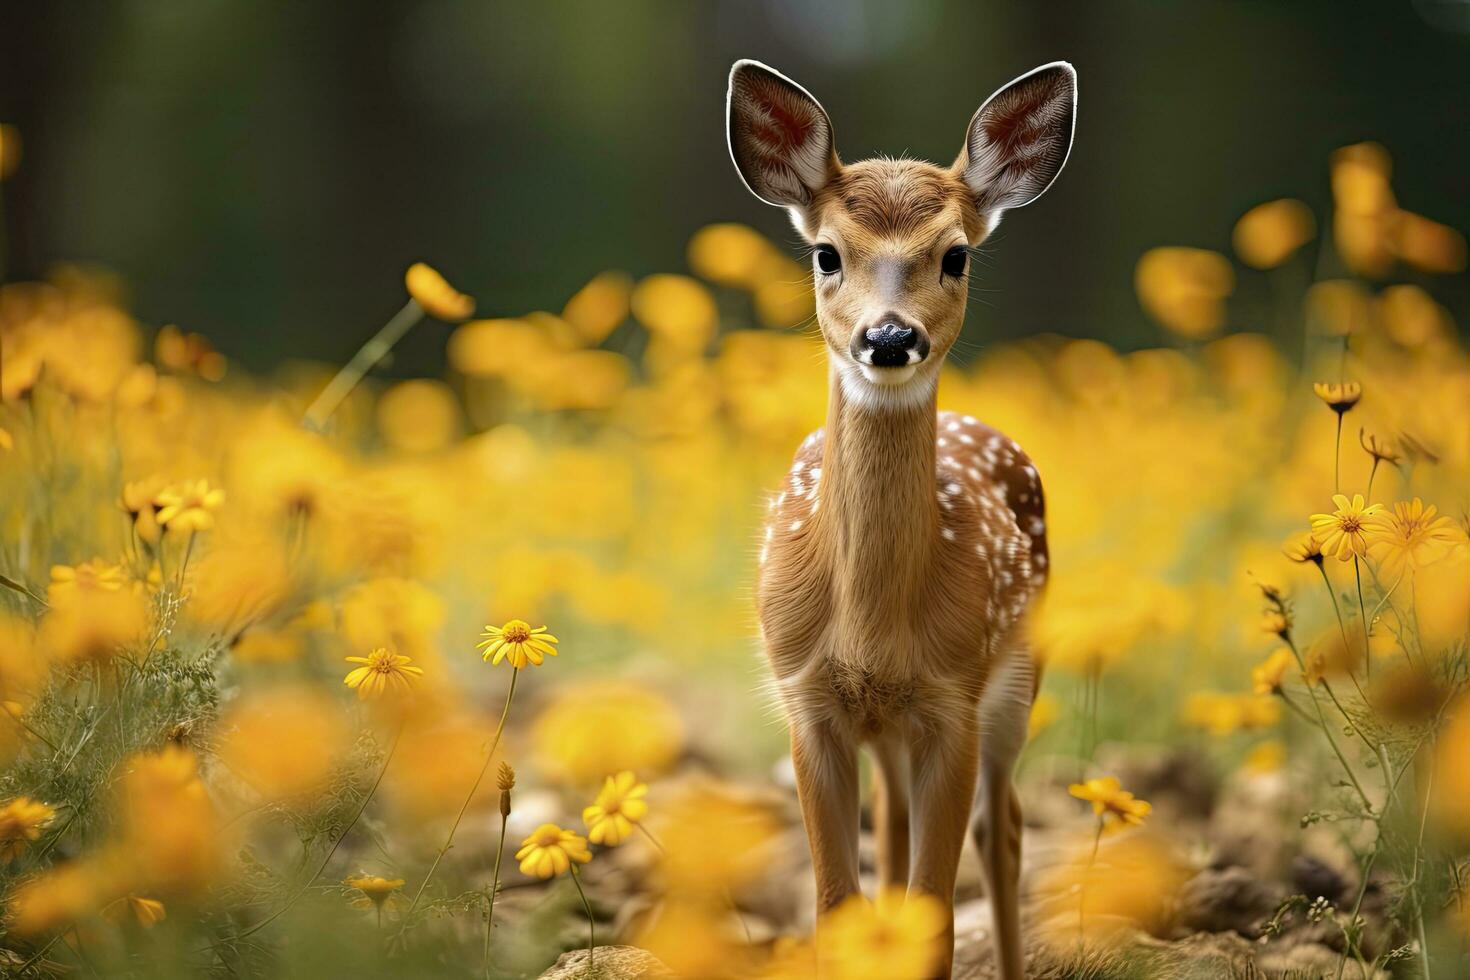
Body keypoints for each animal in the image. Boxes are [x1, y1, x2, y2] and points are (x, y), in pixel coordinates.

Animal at [726, 57, 1081, 975]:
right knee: (891, 826)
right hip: (888, 727)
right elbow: (833, 904)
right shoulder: (807, 699)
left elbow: (935, 911)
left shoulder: (954, 697)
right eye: (827, 253)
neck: (871, 622)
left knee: (1005, 828)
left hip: (1018, 676)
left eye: (955, 255)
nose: (889, 339)